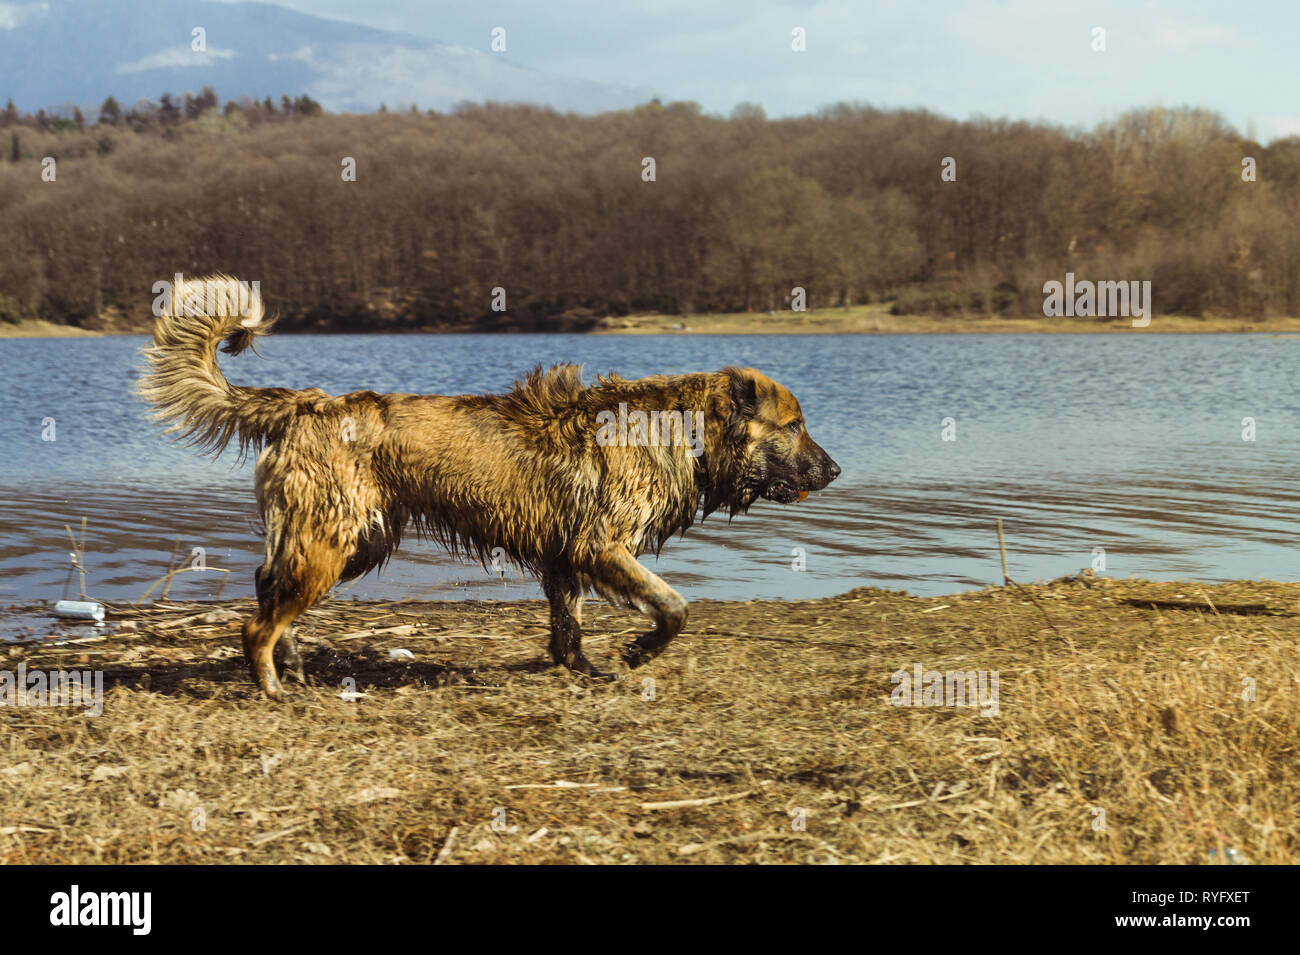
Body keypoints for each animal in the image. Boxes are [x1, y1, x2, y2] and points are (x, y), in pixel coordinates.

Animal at [137, 276, 837, 701]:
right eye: (795, 426)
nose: (832, 471)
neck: (683, 431)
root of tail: (306, 404)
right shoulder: (601, 548)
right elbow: (674, 607)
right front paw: (639, 653)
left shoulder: (564, 558)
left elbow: (568, 626)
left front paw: (580, 669)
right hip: (331, 541)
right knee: (255, 624)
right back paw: (274, 687)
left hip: (352, 540)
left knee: (267, 591)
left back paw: (296, 667)